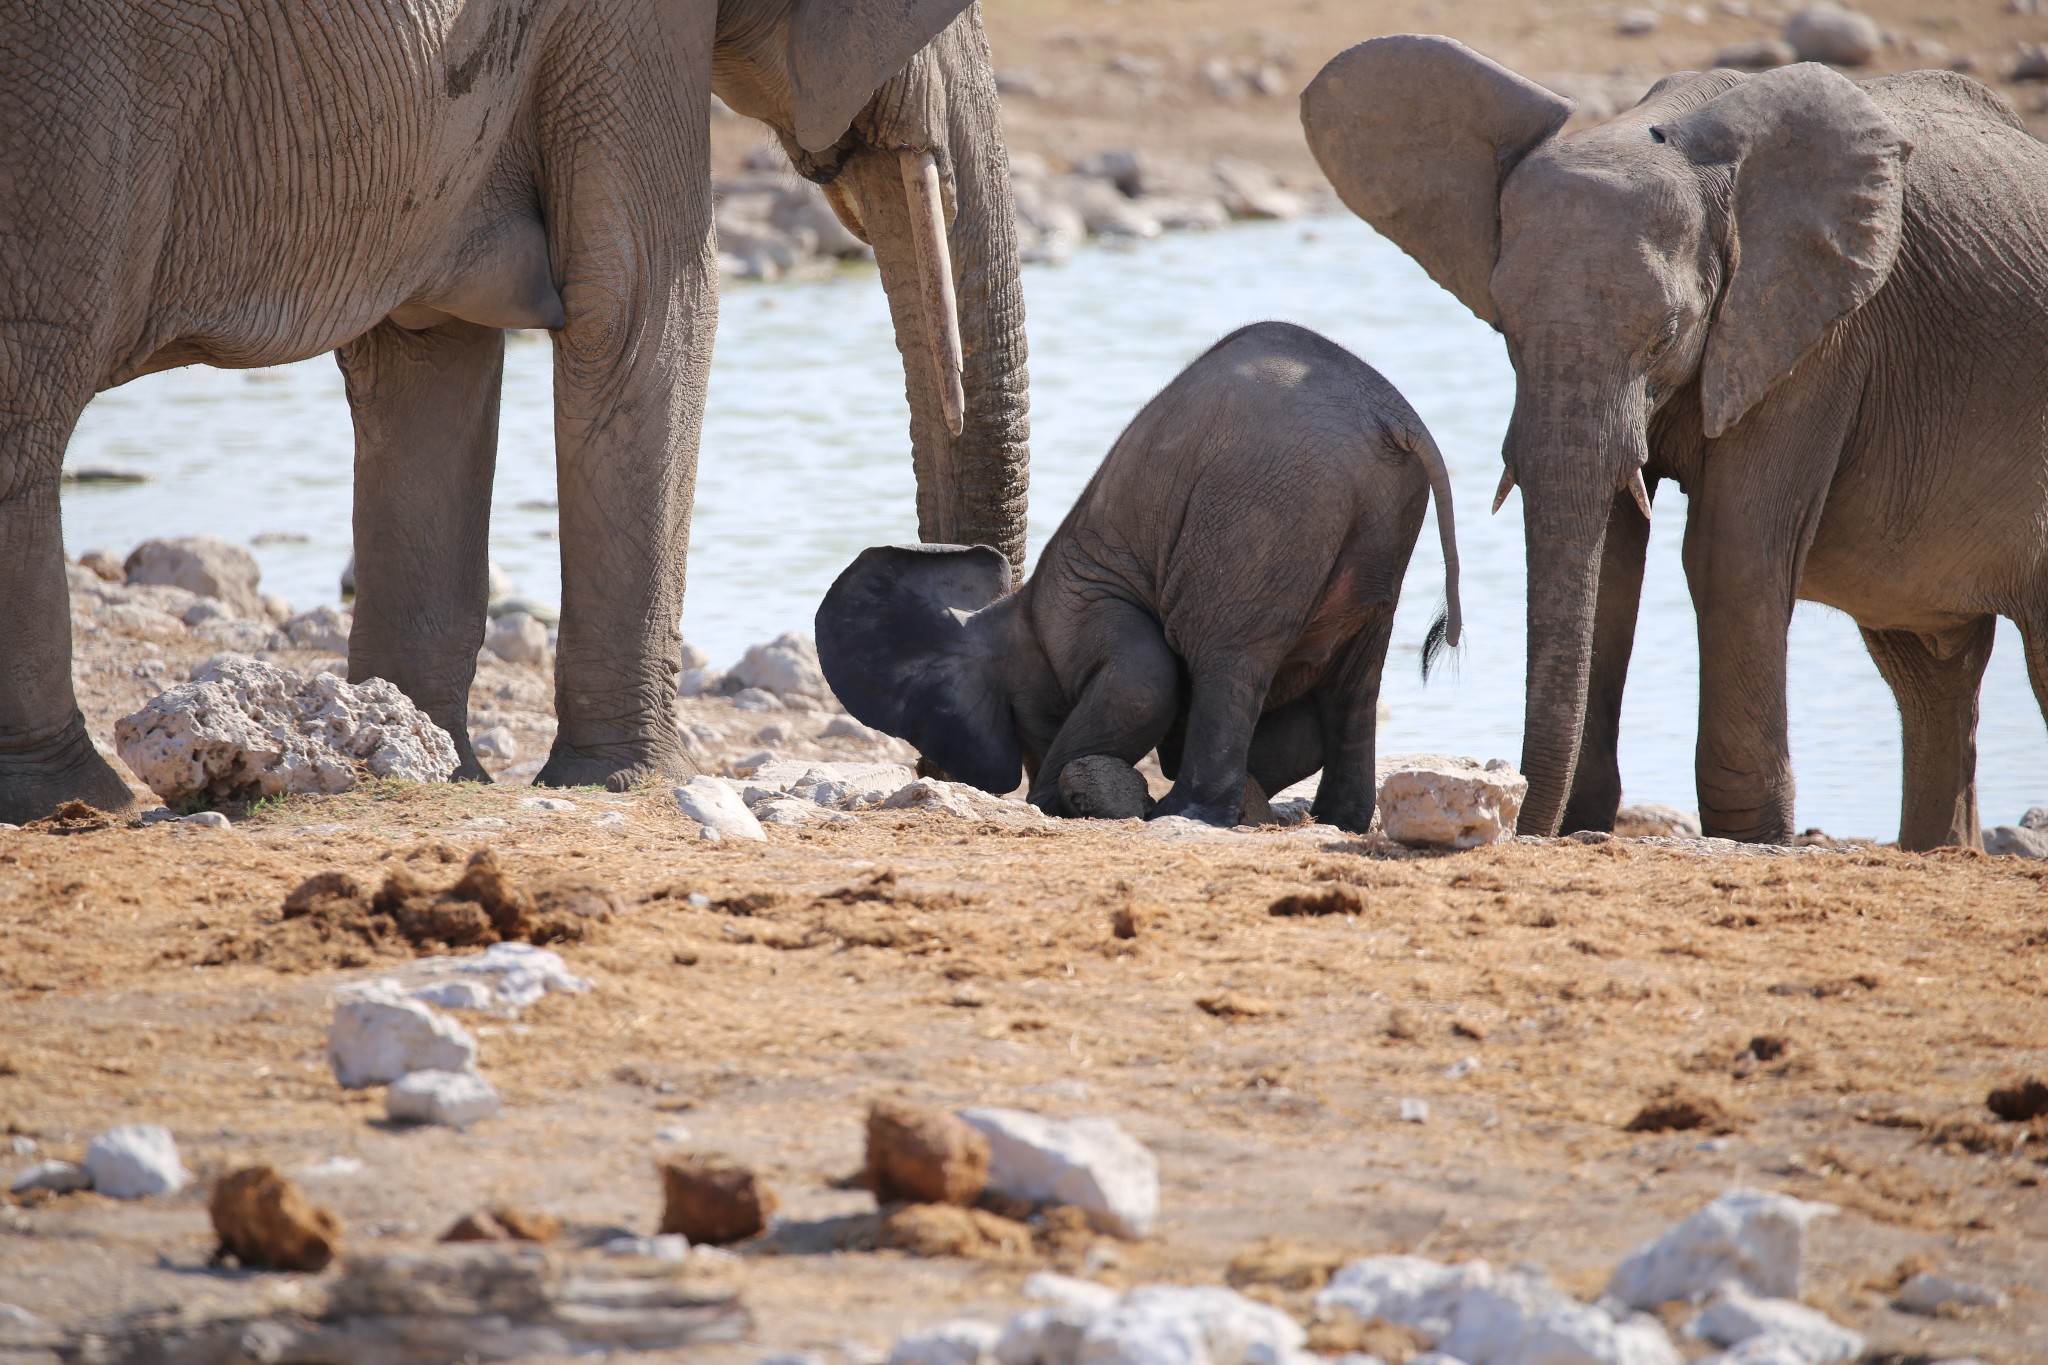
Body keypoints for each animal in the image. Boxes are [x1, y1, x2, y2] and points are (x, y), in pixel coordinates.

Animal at [0, 0, 1024, 822]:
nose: (945, 768)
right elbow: (656, 308)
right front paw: (622, 780)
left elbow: (432, 351)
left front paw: (424, 764)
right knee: (33, 389)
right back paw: (74, 795)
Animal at [806, 323, 1466, 834]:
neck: (1017, 607)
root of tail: (1391, 415)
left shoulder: (1079, 609)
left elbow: (1141, 682)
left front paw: (1051, 802)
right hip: (1373, 523)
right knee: (1355, 681)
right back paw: (1336, 822)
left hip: (1270, 508)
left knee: (1228, 658)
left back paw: (1184, 813)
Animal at [1302, 37, 2048, 847]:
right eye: (1504, 326)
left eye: (1667, 332)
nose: (1440, 637)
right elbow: (1614, 554)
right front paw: (1584, 822)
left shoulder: (1813, 340)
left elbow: (1730, 552)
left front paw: (1753, 838)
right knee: (1932, 676)